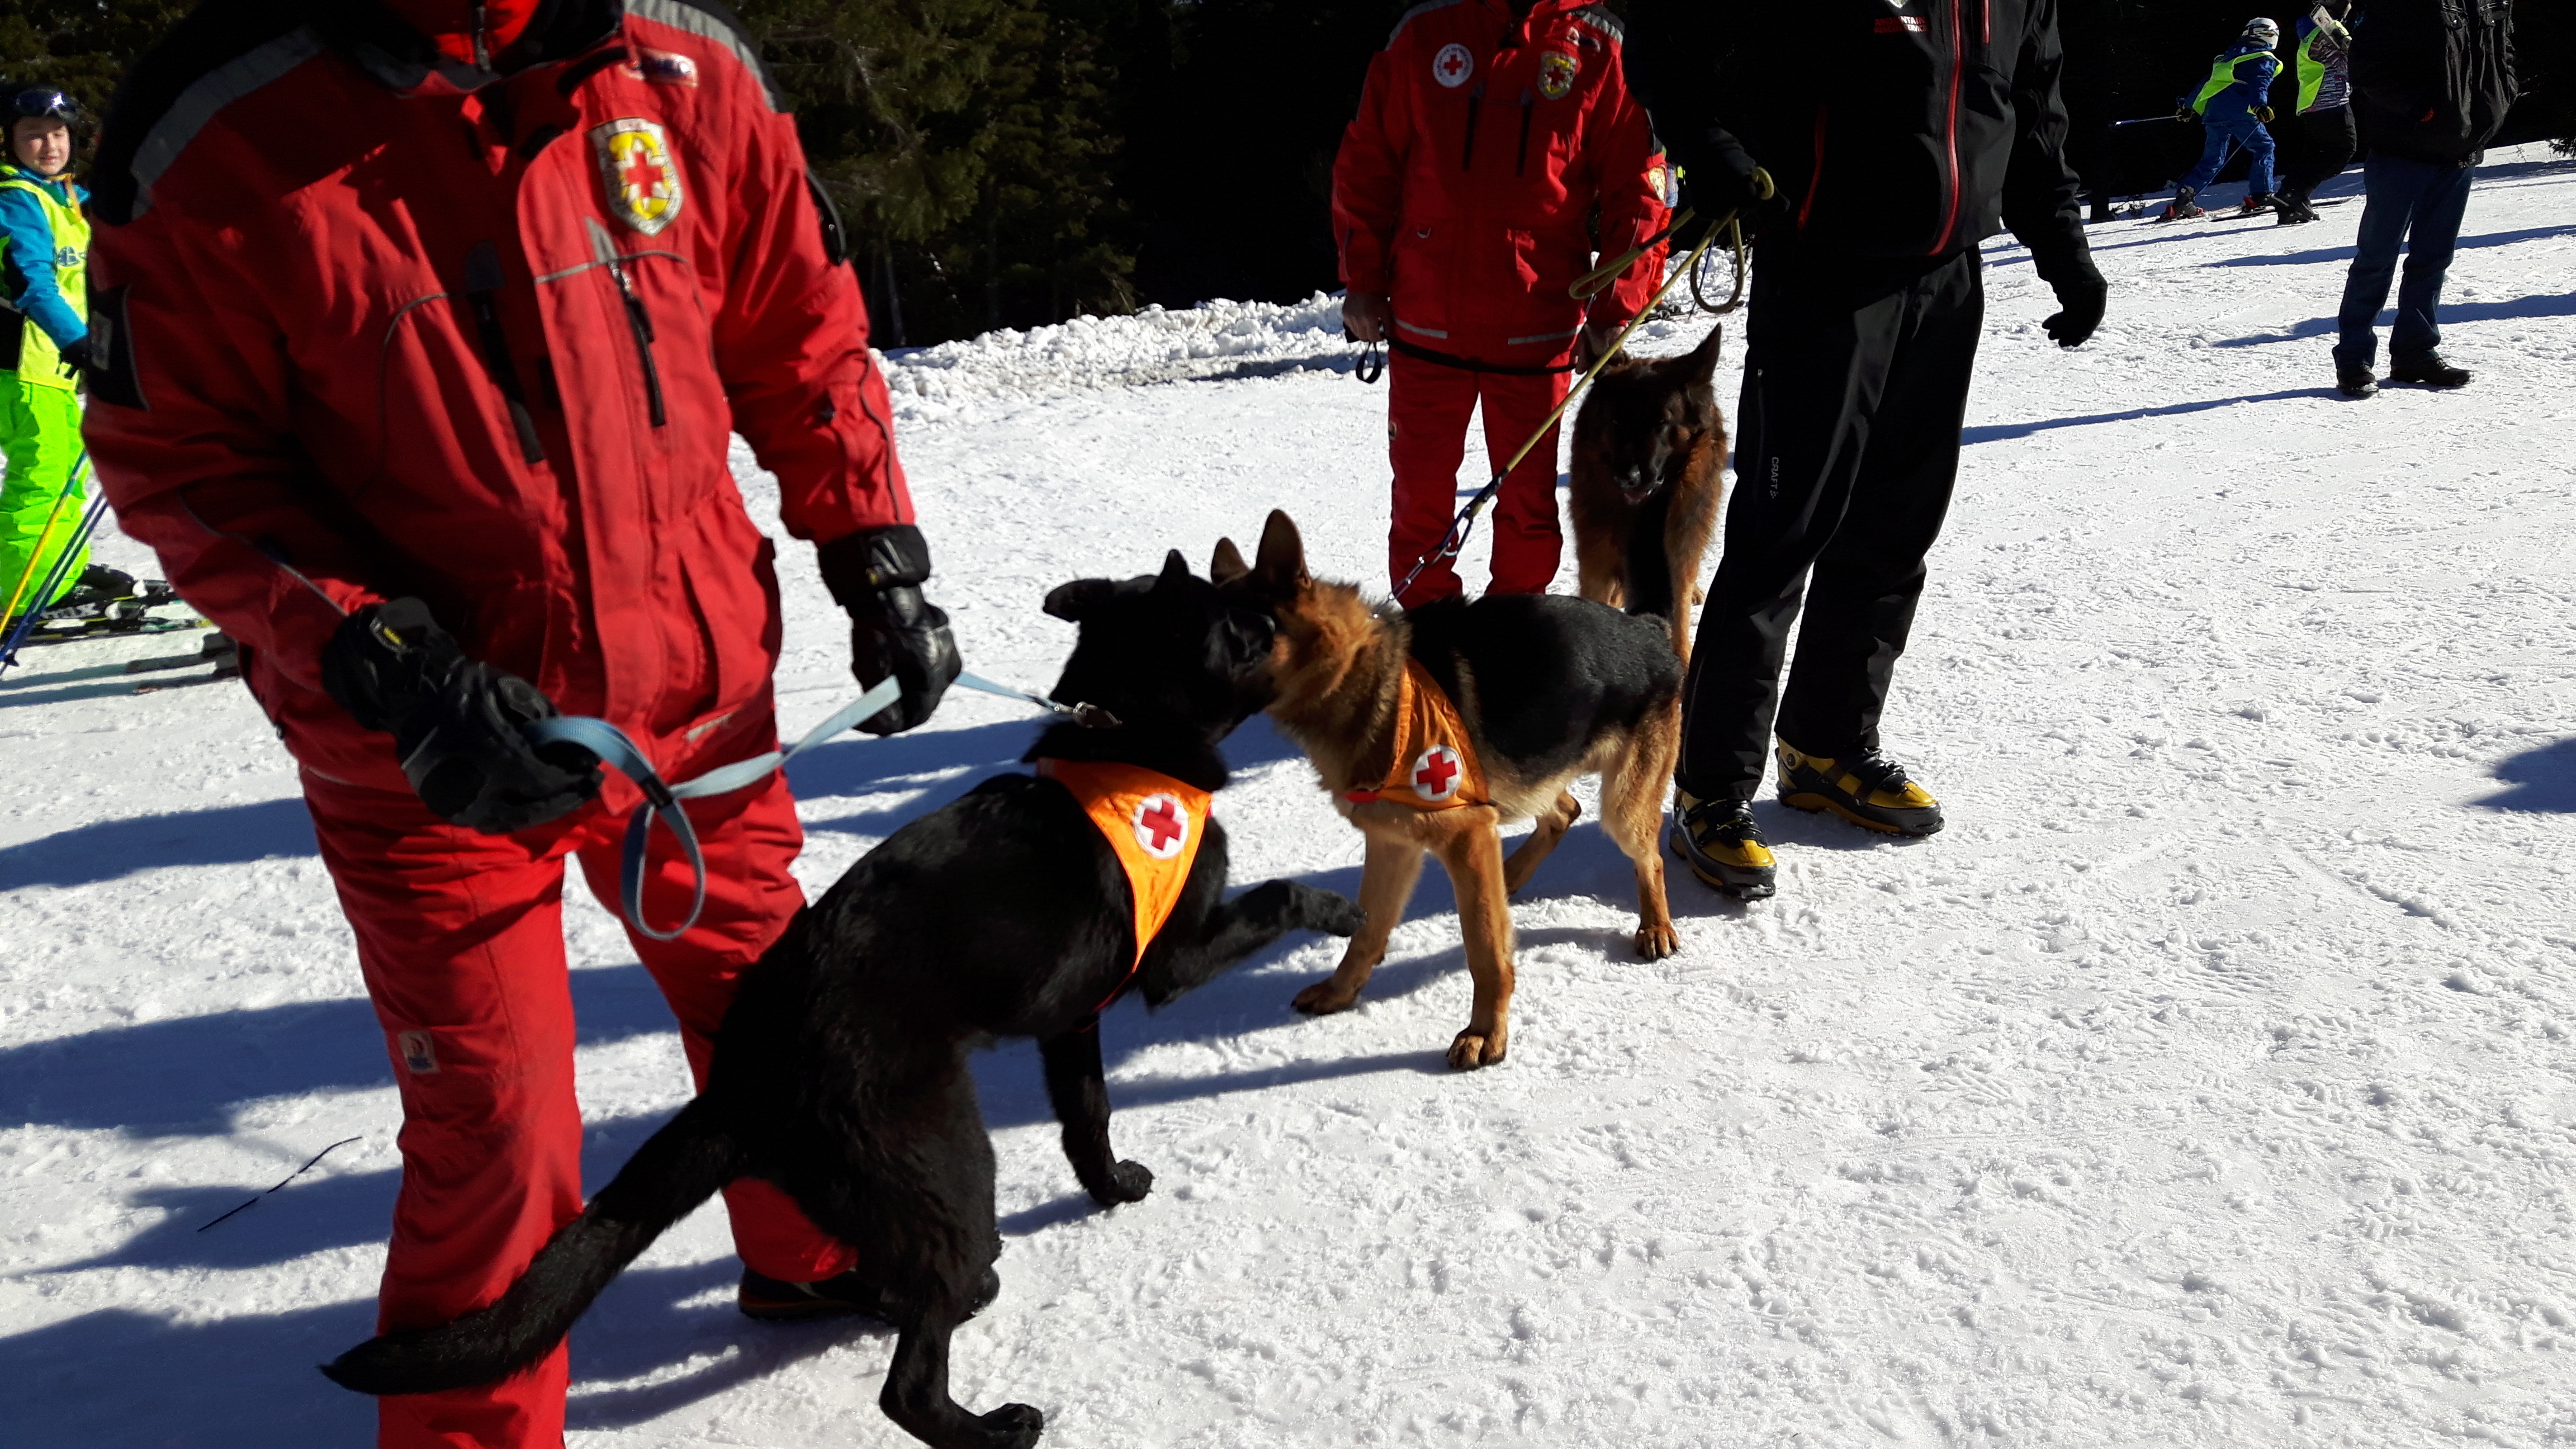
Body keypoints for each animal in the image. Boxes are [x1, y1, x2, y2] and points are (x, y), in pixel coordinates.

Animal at [316, 546, 1370, 1433]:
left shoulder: (1074, 1019)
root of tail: (742, 1078)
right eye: (1238, 626)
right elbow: (1279, 893)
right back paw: (991, 1425)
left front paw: (1111, 1187)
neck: (1126, 736)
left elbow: (1088, 1117)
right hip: (947, 1163)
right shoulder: (1174, 960)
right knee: (908, 1384)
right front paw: (1346, 911)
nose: (1275, 608)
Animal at [1210, 513, 1679, 1067]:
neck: (1366, 679)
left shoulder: (1463, 837)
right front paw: (1342, 992)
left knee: (1648, 857)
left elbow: (1485, 951)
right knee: (1564, 811)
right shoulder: (1393, 844)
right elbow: (1368, 930)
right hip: (1533, 777)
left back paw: (1655, 926)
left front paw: (1485, 1033)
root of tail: (1648, 630)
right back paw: (1513, 873)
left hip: (1623, 808)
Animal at [1566, 321, 1731, 660]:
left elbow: (1678, 623)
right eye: (1616, 421)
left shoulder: (1678, 556)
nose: (1628, 478)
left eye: (1660, 423)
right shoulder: (1596, 559)